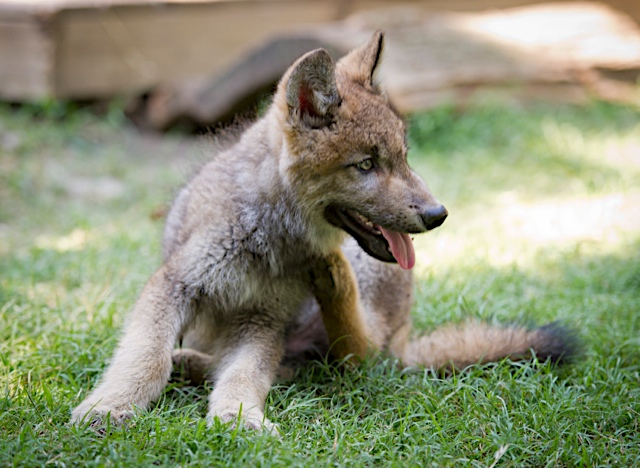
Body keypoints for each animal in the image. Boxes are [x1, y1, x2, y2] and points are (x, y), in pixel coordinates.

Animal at [71, 31, 575, 432]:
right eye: (366, 165)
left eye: (404, 157)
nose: (438, 214)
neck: (263, 233)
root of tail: (405, 336)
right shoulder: (178, 285)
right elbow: (146, 357)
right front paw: (110, 407)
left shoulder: (263, 320)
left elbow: (245, 376)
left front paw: (237, 417)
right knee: (300, 364)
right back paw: (190, 363)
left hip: (355, 300)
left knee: (354, 356)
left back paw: (330, 279)